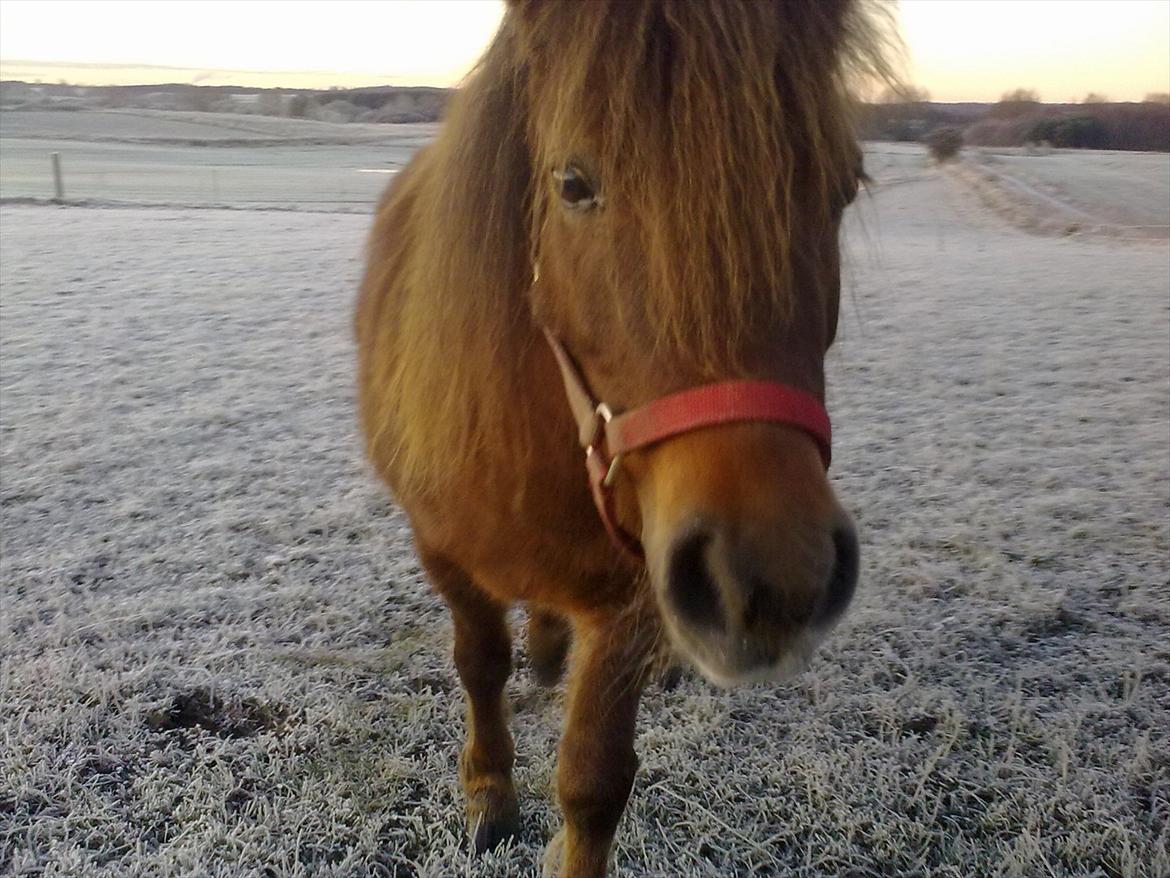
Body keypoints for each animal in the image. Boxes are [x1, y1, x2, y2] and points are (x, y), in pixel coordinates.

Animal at [353, 3, 884, 875]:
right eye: (573, 184)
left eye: (844, 187)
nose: (776, 578)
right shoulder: (442, 552)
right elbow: (479, 665)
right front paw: (489, 790)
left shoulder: (628, 599)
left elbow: (594, 780)